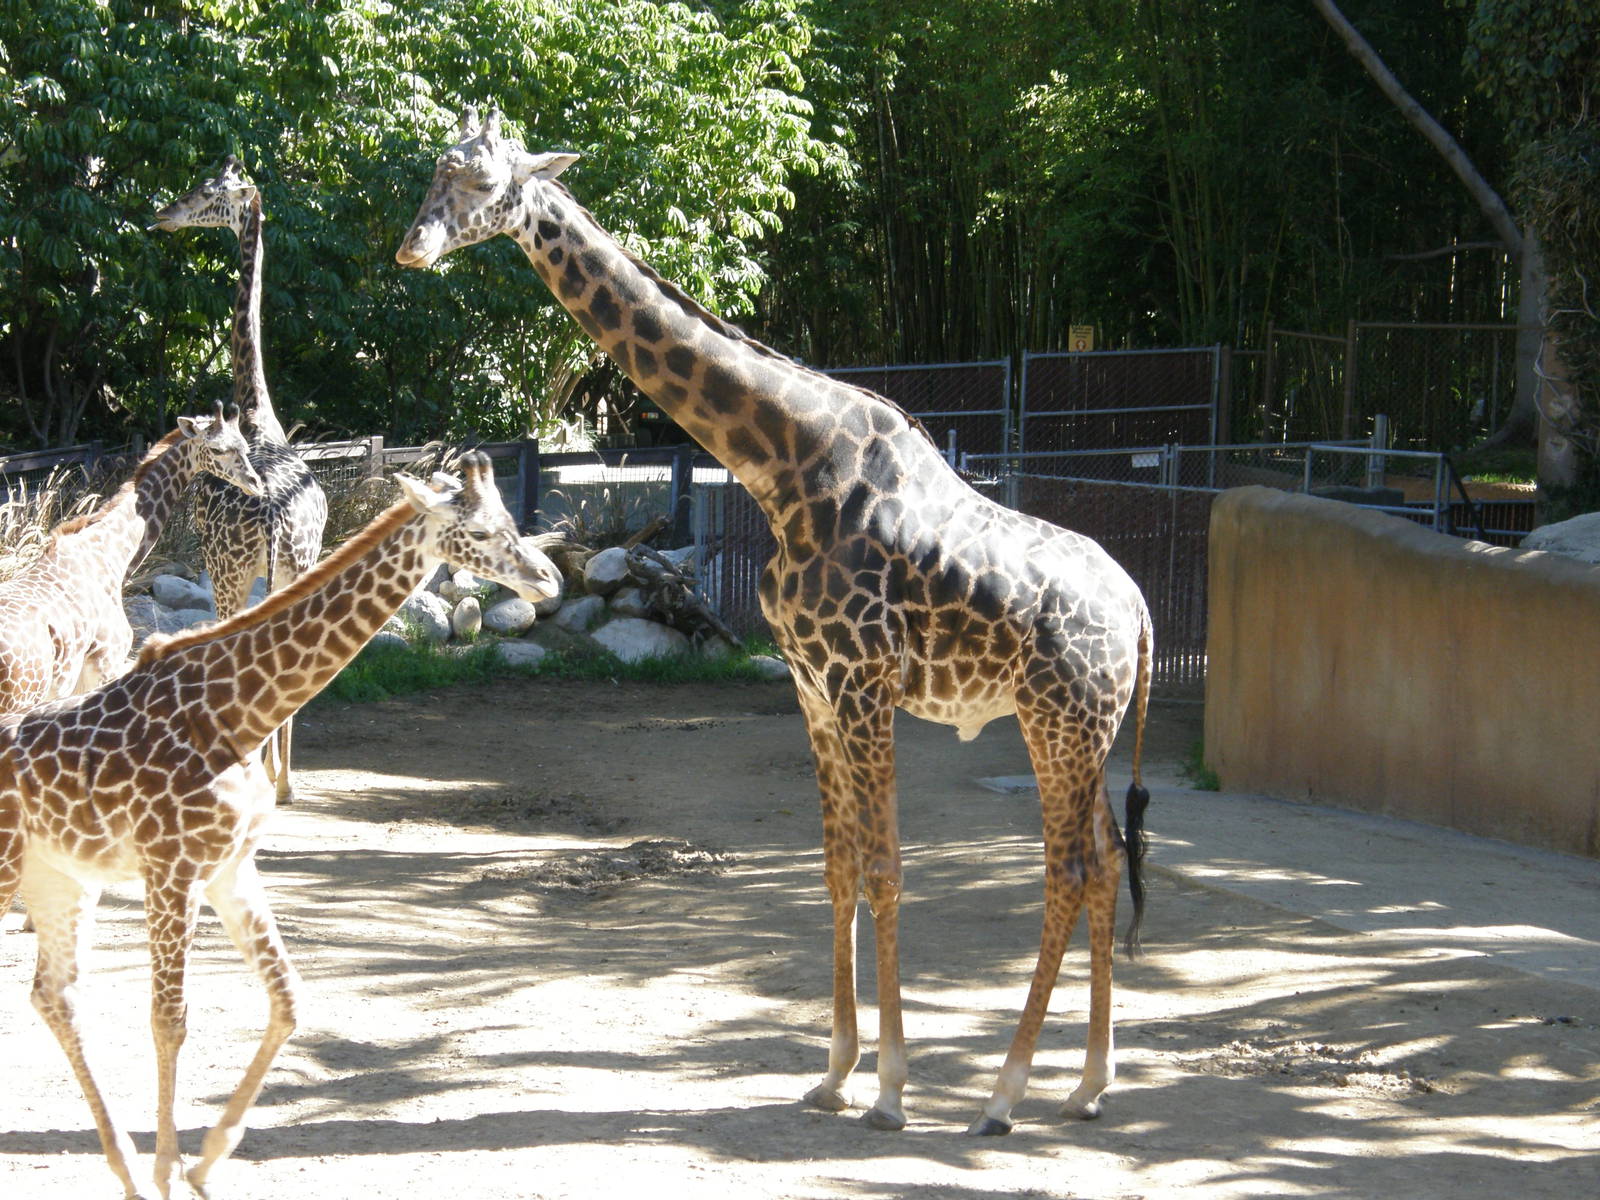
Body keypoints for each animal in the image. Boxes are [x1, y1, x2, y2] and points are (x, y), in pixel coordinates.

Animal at [0, 453, 562, 1200]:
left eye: (512, 522)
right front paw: (173, 1169)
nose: (548, 580)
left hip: (58, 879)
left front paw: (205, 1162)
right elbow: (170, 1020)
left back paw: (123, 1168)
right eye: (478, 530)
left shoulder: (230, 866)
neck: (236, 711)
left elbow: (290, 998)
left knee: (53, 994)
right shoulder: (171, 869)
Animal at [152, 157, 329, 805]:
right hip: (293, 567)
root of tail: (273, 517)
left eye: (208, 192)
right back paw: (284, 783)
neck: (257, 412)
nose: (164, 213)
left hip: (230, 572)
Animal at [397, 107, 1154, 1135]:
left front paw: (891, 1092)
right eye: (434, 172)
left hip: (1059, 721)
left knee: (1069, 869)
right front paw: (833, 1074)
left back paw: (1003, 1096)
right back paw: (1087, 1085)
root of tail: (1142, 613)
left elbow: (886, 868)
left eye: (482, 181)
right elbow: (836, 868)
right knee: (1108, 861)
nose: (412, 246)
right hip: (1088, 728)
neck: (784, 465)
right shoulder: (812, 686)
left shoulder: (865, 683)